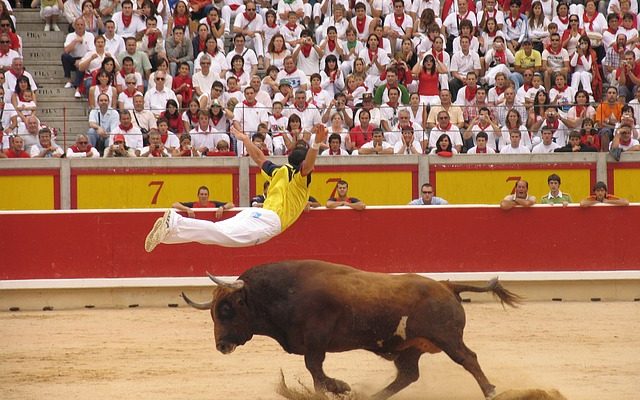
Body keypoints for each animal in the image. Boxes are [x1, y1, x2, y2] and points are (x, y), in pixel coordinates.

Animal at [180, 260, 520, 400]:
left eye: (227, 309)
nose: (221, 345)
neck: (281, 293)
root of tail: (446, 286)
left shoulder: (316, 342)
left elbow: (315, 370)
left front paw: (340, 387)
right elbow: (316, 372)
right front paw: (341, 389)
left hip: (447, 338)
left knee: (468, 359)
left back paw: (491, 391)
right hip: (408, 348)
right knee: (408, 375)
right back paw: (371, 396)